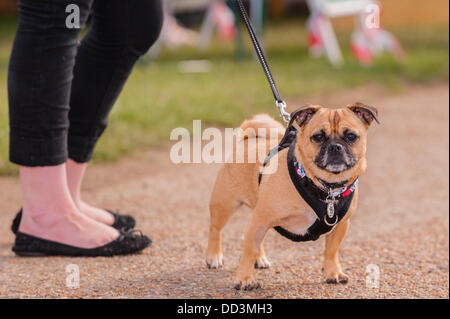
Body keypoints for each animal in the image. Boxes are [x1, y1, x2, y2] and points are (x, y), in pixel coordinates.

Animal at [206, 104, 378, 292]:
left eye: (351, 136)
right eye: (318, 137)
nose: (335, 147)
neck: (326, 187)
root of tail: (248, 140)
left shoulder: (340, 225)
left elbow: (331, 251)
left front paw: (333, 273)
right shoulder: (261, 220)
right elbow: (248, 251)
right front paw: (244, 279)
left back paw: (260, 259)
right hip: (225, 205)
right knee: (216, 230)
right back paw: (213, 257)